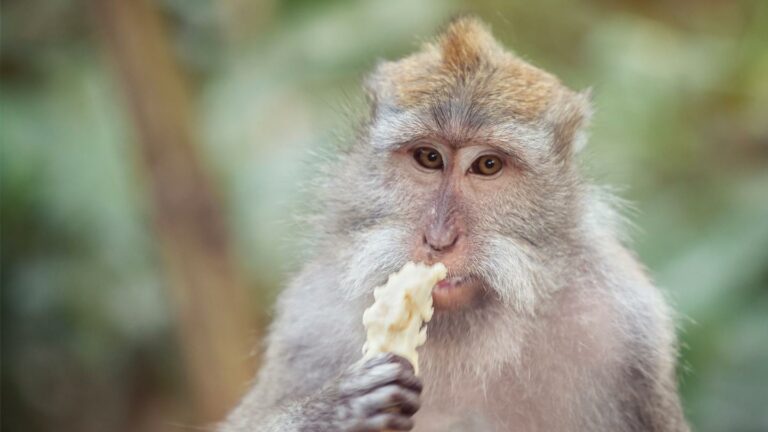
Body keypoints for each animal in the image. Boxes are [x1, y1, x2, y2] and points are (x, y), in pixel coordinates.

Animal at [220, 16, 688, 432]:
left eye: (487, 165)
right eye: (429, 157)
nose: (439, 239)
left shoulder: (630, 330)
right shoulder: (307, 321)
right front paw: (333, 412)